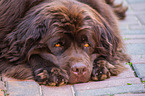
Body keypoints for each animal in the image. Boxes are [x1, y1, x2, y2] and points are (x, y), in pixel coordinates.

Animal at [0, 0, 130, 85]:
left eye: (87, 44)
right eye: (58, 44)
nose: (79, 69)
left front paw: (102, 65)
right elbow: (33, 55)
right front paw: (51, 72)